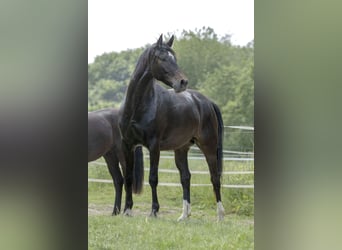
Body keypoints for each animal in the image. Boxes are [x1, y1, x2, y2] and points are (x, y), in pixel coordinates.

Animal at [118, 35, 224, 221]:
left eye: (174, 58)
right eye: (162, 58)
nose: (183, 82)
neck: (138, 106)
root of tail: (207, 102)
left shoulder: (154, 147)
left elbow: (153, 178)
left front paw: (154, 211)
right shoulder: (127, 145)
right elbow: (129, 177)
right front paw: (127, 210)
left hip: (209, 148)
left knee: (215, 178)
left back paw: (220, 216)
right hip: (181, 149)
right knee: (186, 177)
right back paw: (184, 216)